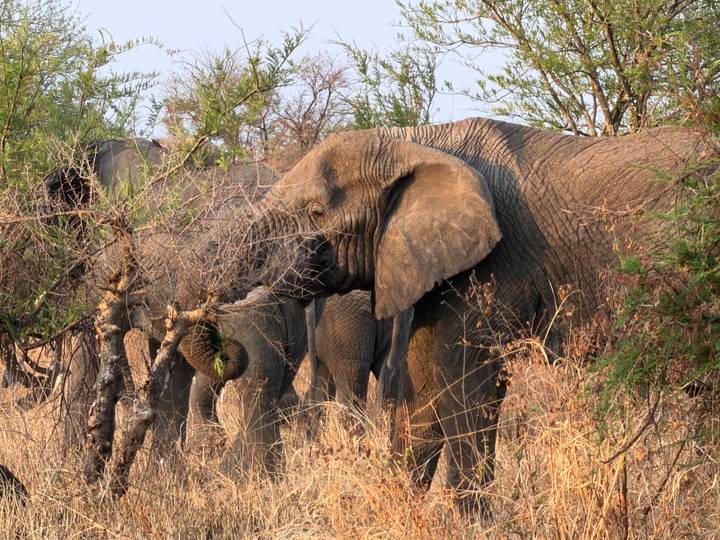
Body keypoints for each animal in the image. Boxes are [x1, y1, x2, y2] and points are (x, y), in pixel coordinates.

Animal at [229, 117, 705, 513]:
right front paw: (402, 508)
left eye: (316, 213)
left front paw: (471, 522)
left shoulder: (492, 267)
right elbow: (422, 388)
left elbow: (465, 384)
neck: (415, 142)